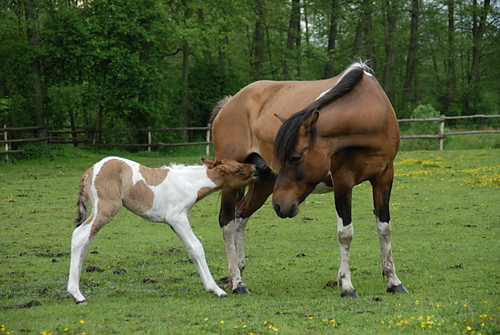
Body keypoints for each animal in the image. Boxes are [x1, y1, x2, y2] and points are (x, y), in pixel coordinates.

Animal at [68, 158, 256, 304]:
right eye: (238, 169)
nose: (256, 168)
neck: (189, 184)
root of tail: (89, 172)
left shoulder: (175, 223)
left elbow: (191, 250)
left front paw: (210, 287)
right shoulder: (177, 218)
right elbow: (197, 247)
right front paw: (217, 289)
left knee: (85, 240)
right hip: (106, 208)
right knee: (80, 235)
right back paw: (76, 294)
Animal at [209, 61, 408, 298]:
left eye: (295, 157)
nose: (280, 206)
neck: (373, 114)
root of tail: (230, 103)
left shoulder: (384, 177)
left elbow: (384, 229)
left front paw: (394, 282)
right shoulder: (343, 181)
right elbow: (345, 234)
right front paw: (347, 285)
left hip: (264, 181)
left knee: (240, 216)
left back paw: (237, 273)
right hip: (233, 181)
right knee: (227, 223)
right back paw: (237, 282)